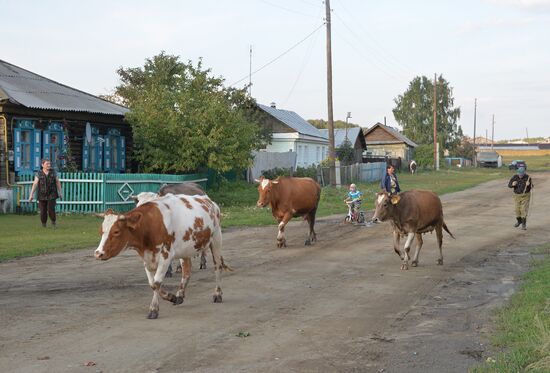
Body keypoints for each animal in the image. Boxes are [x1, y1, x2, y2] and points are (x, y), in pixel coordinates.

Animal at [95, 193, 231, 318]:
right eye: (101, 231)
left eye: (116, 231)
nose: (98, 253)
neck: (150, 225)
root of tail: (208, 200)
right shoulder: (146, 257)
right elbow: (152, 283)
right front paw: (171, 297)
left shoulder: (166, 256)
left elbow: (157, 282)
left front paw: (153, 309)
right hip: (185, 250)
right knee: (186, 272)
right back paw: (180, 295)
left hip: (216, 240)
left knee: (217, 267)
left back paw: (217, 294)